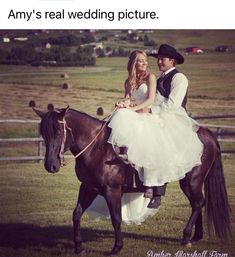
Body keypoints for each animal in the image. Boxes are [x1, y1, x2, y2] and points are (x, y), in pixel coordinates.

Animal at [33, 105, 231, 254]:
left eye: (59, 132)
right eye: (44, 133)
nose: (50, 165)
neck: (98, 148)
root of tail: (207, 133)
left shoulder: (112, 190)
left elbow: (116, 218)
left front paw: (116, 248)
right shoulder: (88, 187)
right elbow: (76, 214)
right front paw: (79, 247)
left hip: (193, 180)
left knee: (198, 203)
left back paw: (186, 236)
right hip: (188, 182)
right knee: (198, 203)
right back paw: (194, 237)